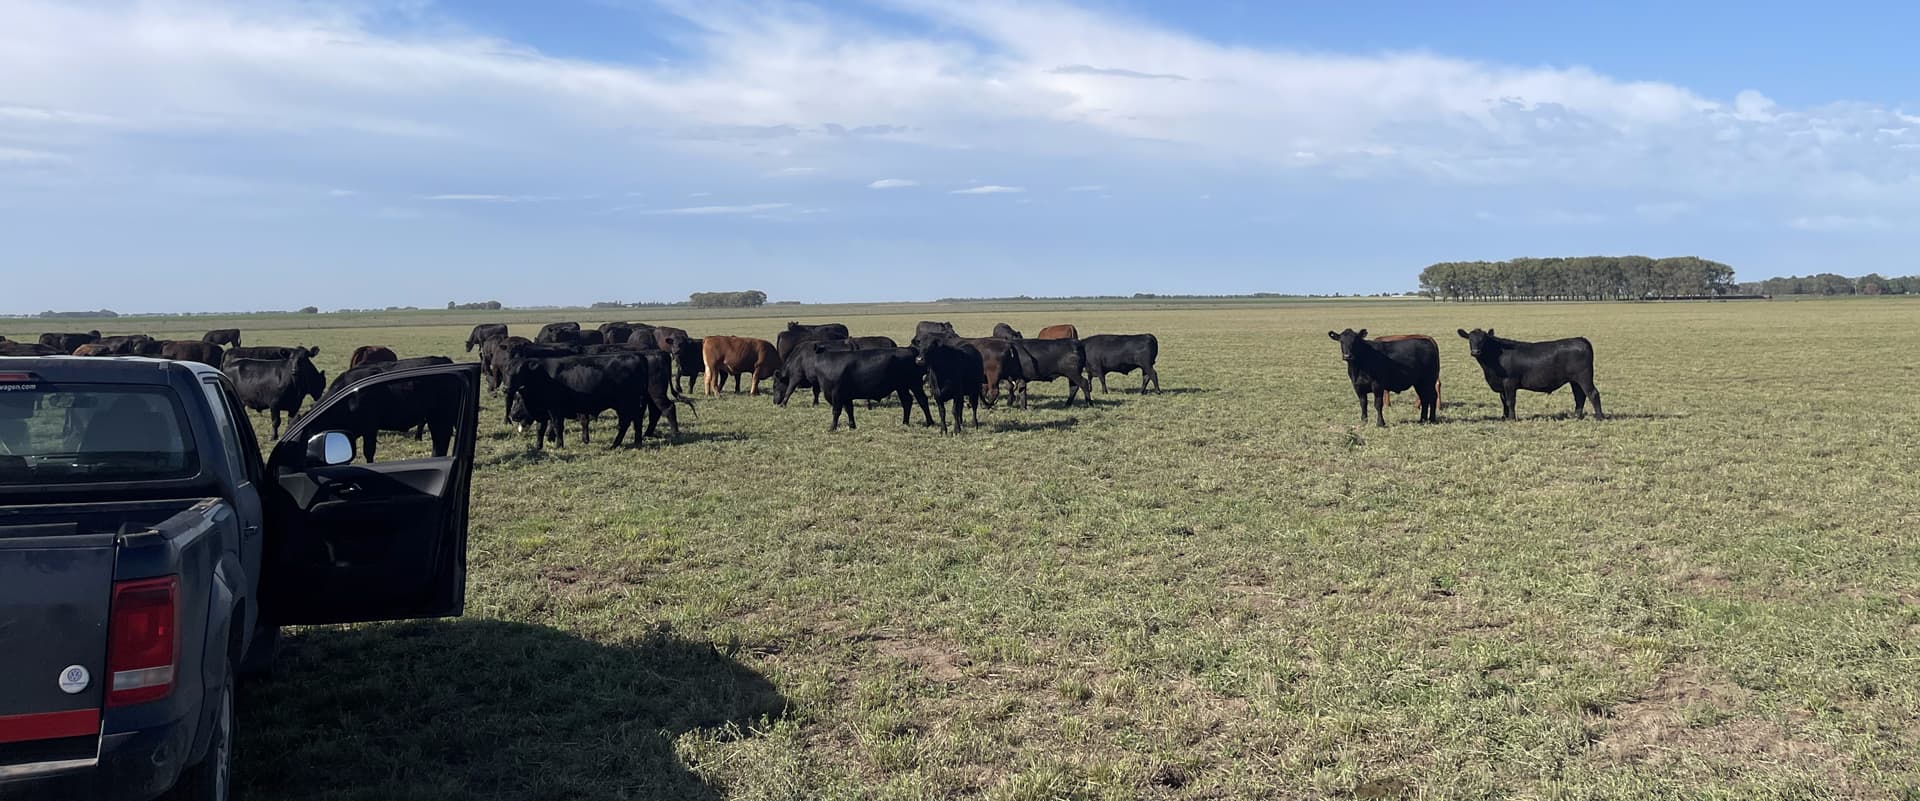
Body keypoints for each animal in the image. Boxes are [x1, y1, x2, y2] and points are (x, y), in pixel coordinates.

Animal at [775, 345, 933, 430]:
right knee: (907, 401)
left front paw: (832, 428)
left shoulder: (837, 394)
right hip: (901, 387)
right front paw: (852, 426)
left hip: (914, 384)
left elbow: (836, 411)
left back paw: (930, 422)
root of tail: (910, 349)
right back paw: (905, 422)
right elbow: (849, 410)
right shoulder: (846, 395)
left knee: (922, 400)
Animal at [1459, 328, 1597, 420]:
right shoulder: (1501, 386)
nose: (1475, 352)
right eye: (1470, 339)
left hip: (1584, 377)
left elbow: (1510, 401)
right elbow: (1503, 401)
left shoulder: (1509, 383)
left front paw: (1511, 419)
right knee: (1579, 396)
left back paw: (1599, 417)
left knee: (1592, 393)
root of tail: (1580, 339)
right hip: (1574, 381)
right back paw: (1576, 417)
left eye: (1483, 340)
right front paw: (1504, 417)